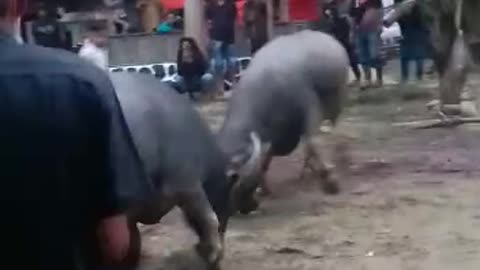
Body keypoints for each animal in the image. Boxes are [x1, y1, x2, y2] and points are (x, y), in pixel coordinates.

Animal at [110, 73, 249, 268]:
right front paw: (212, 252)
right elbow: (208, 218)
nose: (219, 257)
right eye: (229, 201)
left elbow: (132, 241)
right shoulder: (186, 185)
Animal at [218, 31, 348, 213]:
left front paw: (330, 181)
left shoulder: (309, 106)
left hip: (337, 99)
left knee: (329, 128)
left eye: (235, 178)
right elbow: (267, 156)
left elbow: (312, 142)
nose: (247, 207)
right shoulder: (279, 134)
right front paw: (264, 188)